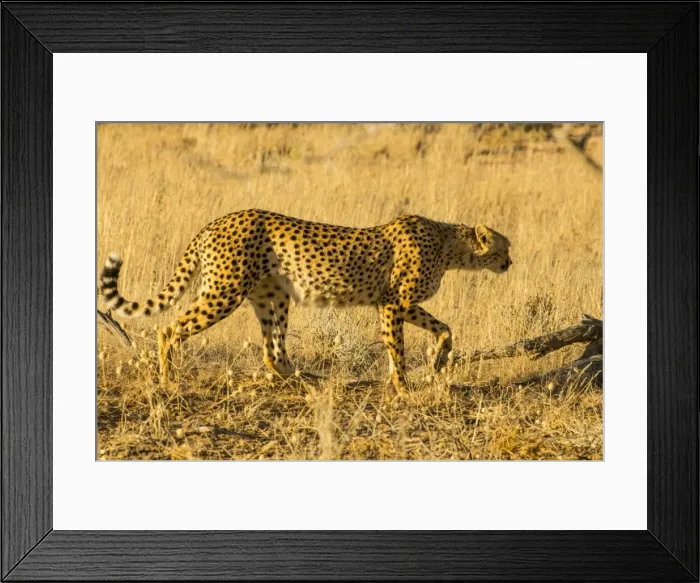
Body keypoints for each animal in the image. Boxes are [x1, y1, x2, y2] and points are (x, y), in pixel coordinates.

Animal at [99, 209, 511, 397]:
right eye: (505, 247)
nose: (510, 263)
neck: (449, 245)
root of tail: (219, 220)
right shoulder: (394, 303)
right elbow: (399, 349)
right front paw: (403, 386)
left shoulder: (397, 304)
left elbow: (445, 328)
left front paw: (438, 361)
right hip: (224, 293)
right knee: (168, 328)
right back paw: (168, 380)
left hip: (273, 297)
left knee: (273, 353)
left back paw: (311, 380)